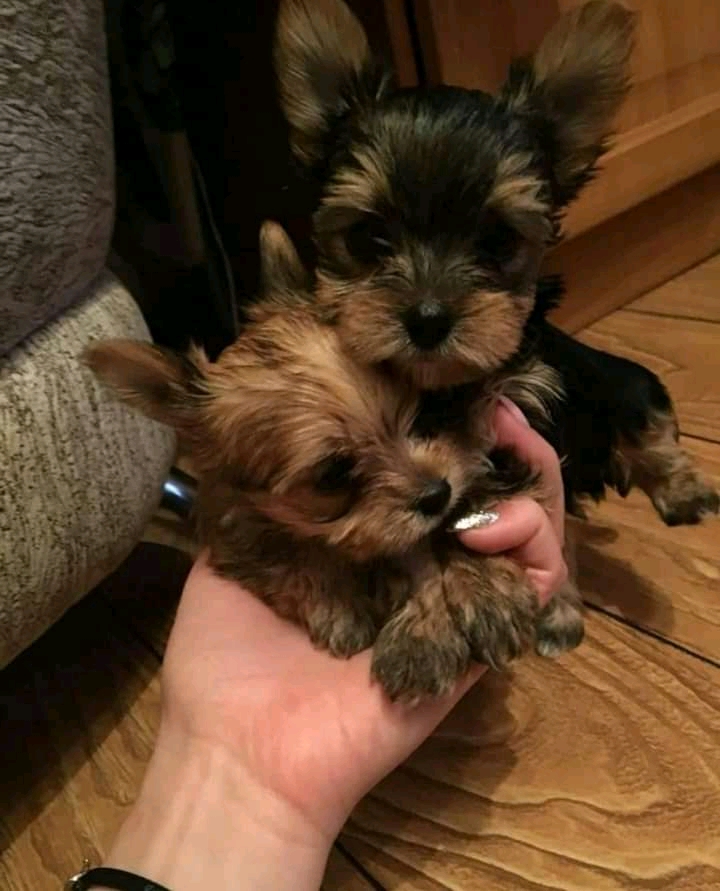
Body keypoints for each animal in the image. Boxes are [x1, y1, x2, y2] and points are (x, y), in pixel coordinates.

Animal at [84, 220, 580, 700]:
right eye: (333, 475)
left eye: (423, 415)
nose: (437, 494)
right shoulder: (234, 524)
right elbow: (298, 553)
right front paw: (345, 607)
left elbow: (466, 510)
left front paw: (477, 593)